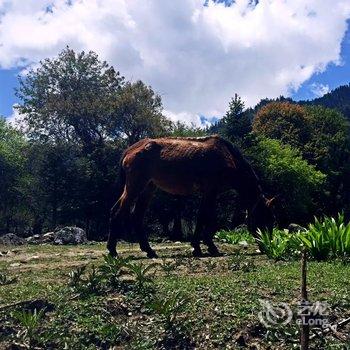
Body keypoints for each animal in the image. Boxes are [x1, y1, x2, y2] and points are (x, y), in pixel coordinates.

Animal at [108, 135, 274, 258]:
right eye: (265, 219)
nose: (268, 246)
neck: (228, 157)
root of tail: (131, 149)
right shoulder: (211, 191)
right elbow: (207, 218)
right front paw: (207, 246)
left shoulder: (208, 193)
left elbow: (203, 217)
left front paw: (199, 246)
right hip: (135, 186)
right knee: (117, 212)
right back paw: (113, 250)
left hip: (148, 188)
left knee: (136, 216)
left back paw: (149, 250)